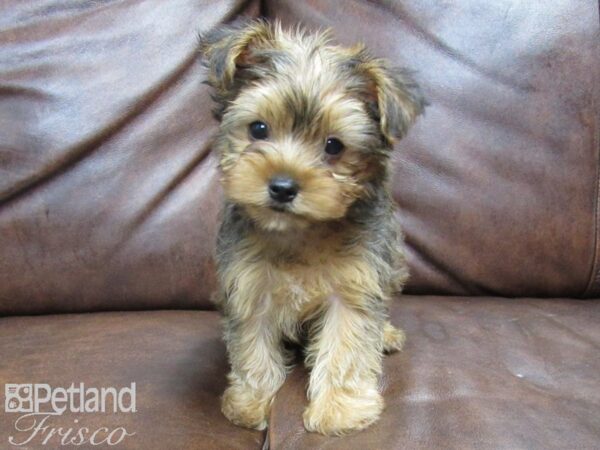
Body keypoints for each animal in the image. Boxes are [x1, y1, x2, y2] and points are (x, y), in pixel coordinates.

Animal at [199, 18, 424, 436]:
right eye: (258, 128)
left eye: (334, 146)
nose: (283, 186)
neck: (301, 232)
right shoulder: (249, 285)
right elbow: (252, 347)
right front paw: (252, 402)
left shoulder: (354, 285)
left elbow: (346, 347)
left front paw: (339, 408)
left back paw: (385, 334)